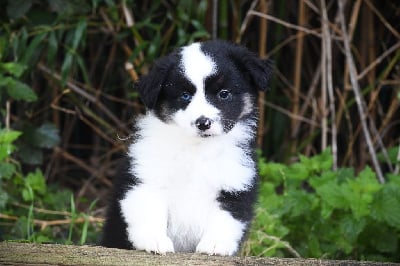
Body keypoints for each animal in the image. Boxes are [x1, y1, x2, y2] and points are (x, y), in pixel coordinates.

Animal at [101, 40, 274, 256]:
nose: (203, 123)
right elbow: (148, 208)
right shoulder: (146, 176)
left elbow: (227, 216)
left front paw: (215, 245)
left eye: (223, 94)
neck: (196, 148)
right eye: (184, 96)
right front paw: (154, 241)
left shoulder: (235, 182)